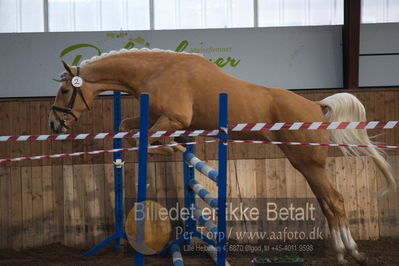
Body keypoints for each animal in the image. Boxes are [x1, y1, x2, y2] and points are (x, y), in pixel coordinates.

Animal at [50, 48, 396, 264]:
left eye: (66, 91)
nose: (55, 124)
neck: (159, 71)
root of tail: (316, 106)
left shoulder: (172, 119)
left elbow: (152, 140)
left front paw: (174, 147)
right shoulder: (156, 119)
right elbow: (127, 128)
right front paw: (140, 152)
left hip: (309, 163)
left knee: (335, 201)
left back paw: (353, 253)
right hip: (305, 165)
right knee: (328, 204)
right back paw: (341, 252)